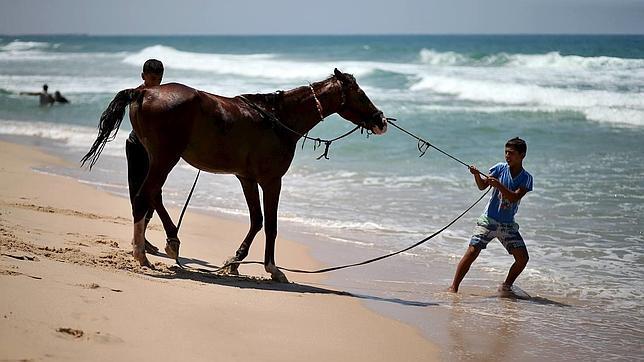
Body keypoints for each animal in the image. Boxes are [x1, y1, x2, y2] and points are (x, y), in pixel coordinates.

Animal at [84, 68, 388, 282]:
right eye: (361, 94)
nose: (381, 121)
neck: (277, 119)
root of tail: (143, 93)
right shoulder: (271, 180)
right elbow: (271, 224)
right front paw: (272, 268)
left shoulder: (247, 179)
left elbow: (256, 220)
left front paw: (235, 262)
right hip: (164, 157)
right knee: (145, 194)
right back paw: (151, 250)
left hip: (156, 158)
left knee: (150, 196)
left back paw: (162, 245)